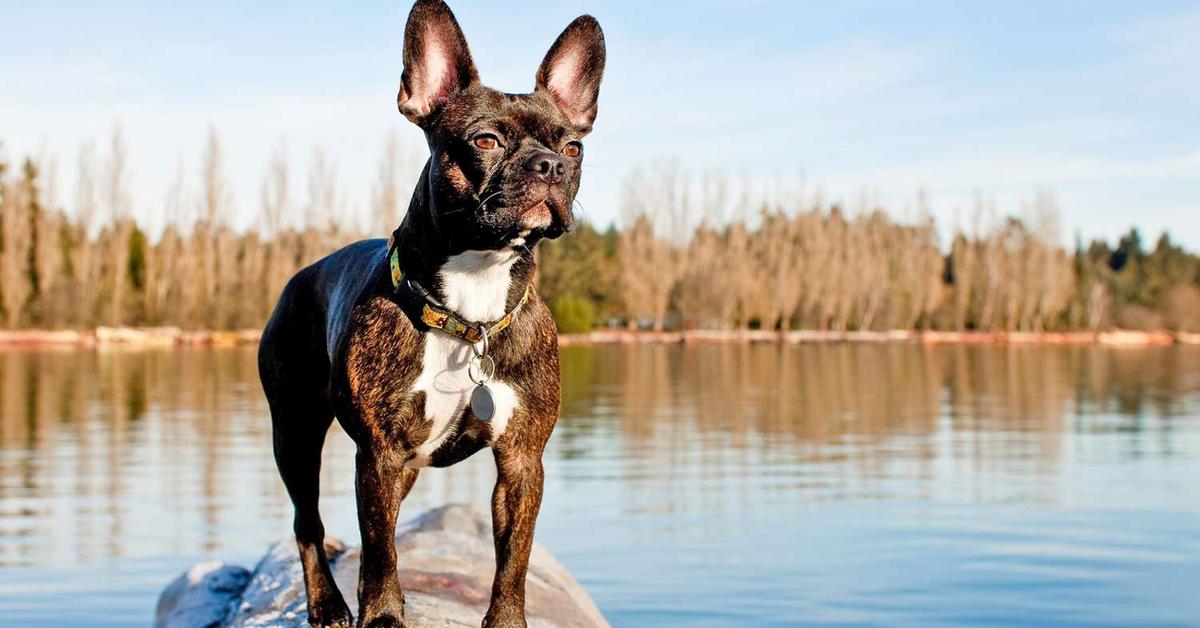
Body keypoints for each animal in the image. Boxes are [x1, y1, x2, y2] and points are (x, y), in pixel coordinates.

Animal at [258, 2, 604, 624]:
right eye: (485, 140)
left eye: (573, 148)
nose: (549, 166)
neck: (472, 308)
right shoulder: (380, 455)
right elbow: (381, 551)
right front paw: (383, 616)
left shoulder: (522, 461)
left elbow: (513, 559)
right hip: (294, 430)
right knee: (308, 523)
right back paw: (327, 603)